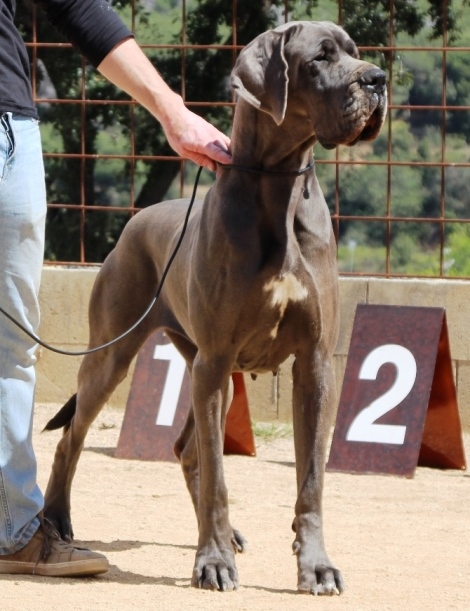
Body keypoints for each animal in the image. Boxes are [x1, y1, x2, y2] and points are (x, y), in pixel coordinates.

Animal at [43, 21, 386, 596]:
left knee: (187, 449)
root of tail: (135, 221)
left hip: (213, 377)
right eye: (320, 57)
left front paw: (315, 565)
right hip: (120, 357)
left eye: (356, 52)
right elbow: (220, 480)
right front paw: (214, 562)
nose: (379, 79)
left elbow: (311, 479)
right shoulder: (217, 358)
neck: (278, 187)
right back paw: (55, 522)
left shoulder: (314, 363)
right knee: (74, 437)